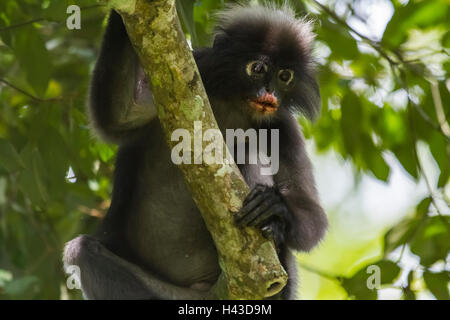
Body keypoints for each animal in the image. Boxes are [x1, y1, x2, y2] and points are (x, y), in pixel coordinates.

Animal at [63, 3, 326, 300]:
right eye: (258, 68)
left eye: (284, 76)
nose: (269, 92)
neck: (233, 103)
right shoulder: (180, 82)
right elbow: (118, 116)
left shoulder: (284, 128)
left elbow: (312, 213)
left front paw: (275, 207)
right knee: (81, 251)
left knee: (246, 147)